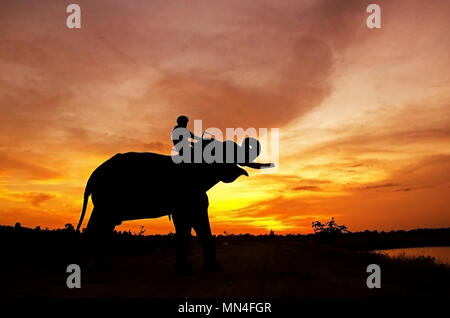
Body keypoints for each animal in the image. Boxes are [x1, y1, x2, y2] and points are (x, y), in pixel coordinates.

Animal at [77, 137, 272, 270]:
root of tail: (92, 176)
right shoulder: (187, 194)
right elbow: (193, 222)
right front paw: (206, 269)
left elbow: (186, 224)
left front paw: (189, 267)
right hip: (107, 198)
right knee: (99, 225)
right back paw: (89, 268)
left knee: (104, 226)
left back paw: (103, 266)